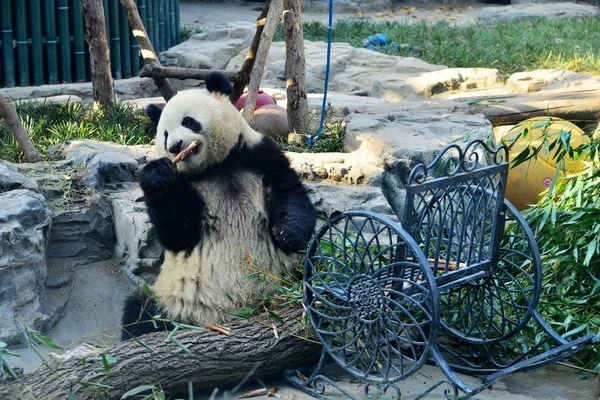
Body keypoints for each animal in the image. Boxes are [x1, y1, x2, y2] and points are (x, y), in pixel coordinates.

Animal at [121, 72, 318, 340]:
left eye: (188, 121)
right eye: (164, 134)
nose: (174, 147)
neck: (217, 166)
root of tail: (231, 314)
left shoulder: (258, 154)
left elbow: (289, 193)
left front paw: (286, 234)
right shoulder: (188, 184)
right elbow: (178, 233)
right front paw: (157, 176)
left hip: (290, 274)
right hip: (173, 298)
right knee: (139, 312)